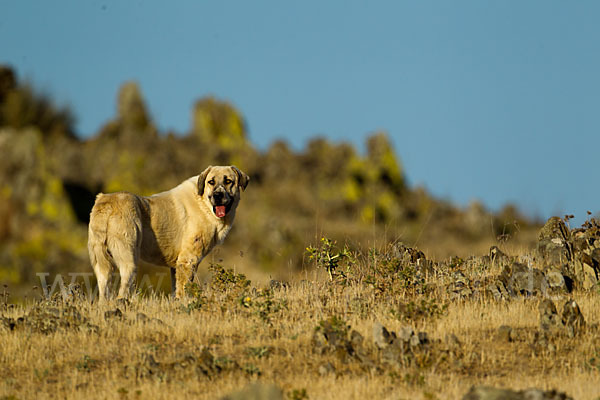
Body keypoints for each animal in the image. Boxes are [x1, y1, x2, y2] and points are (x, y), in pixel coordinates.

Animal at [86, 165, 248, 300]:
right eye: (211, 182)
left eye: (228, 181)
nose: (217, 195)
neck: (204, 204)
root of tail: (106, 202)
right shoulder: (188, 260)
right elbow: (184, 290)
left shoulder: (176, 266)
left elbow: (175, 288)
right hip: (129, 260)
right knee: (122, 292)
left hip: (101, 264)